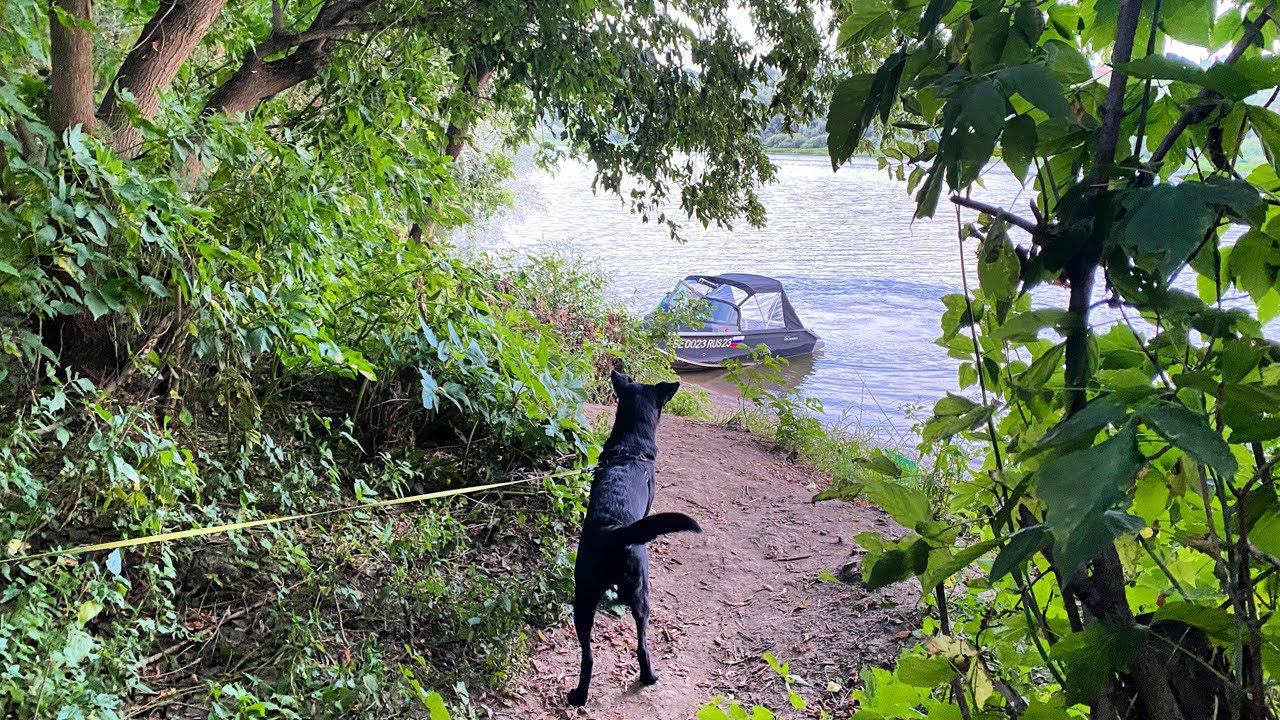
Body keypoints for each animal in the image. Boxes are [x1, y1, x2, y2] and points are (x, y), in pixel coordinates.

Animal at [567, 370, 701, 707]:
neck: (630, 450)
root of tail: (614, 532)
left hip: (584, 598)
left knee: (590, 655)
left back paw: (581, 695)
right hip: (642, 592)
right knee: (641, 644)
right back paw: (649, 676)